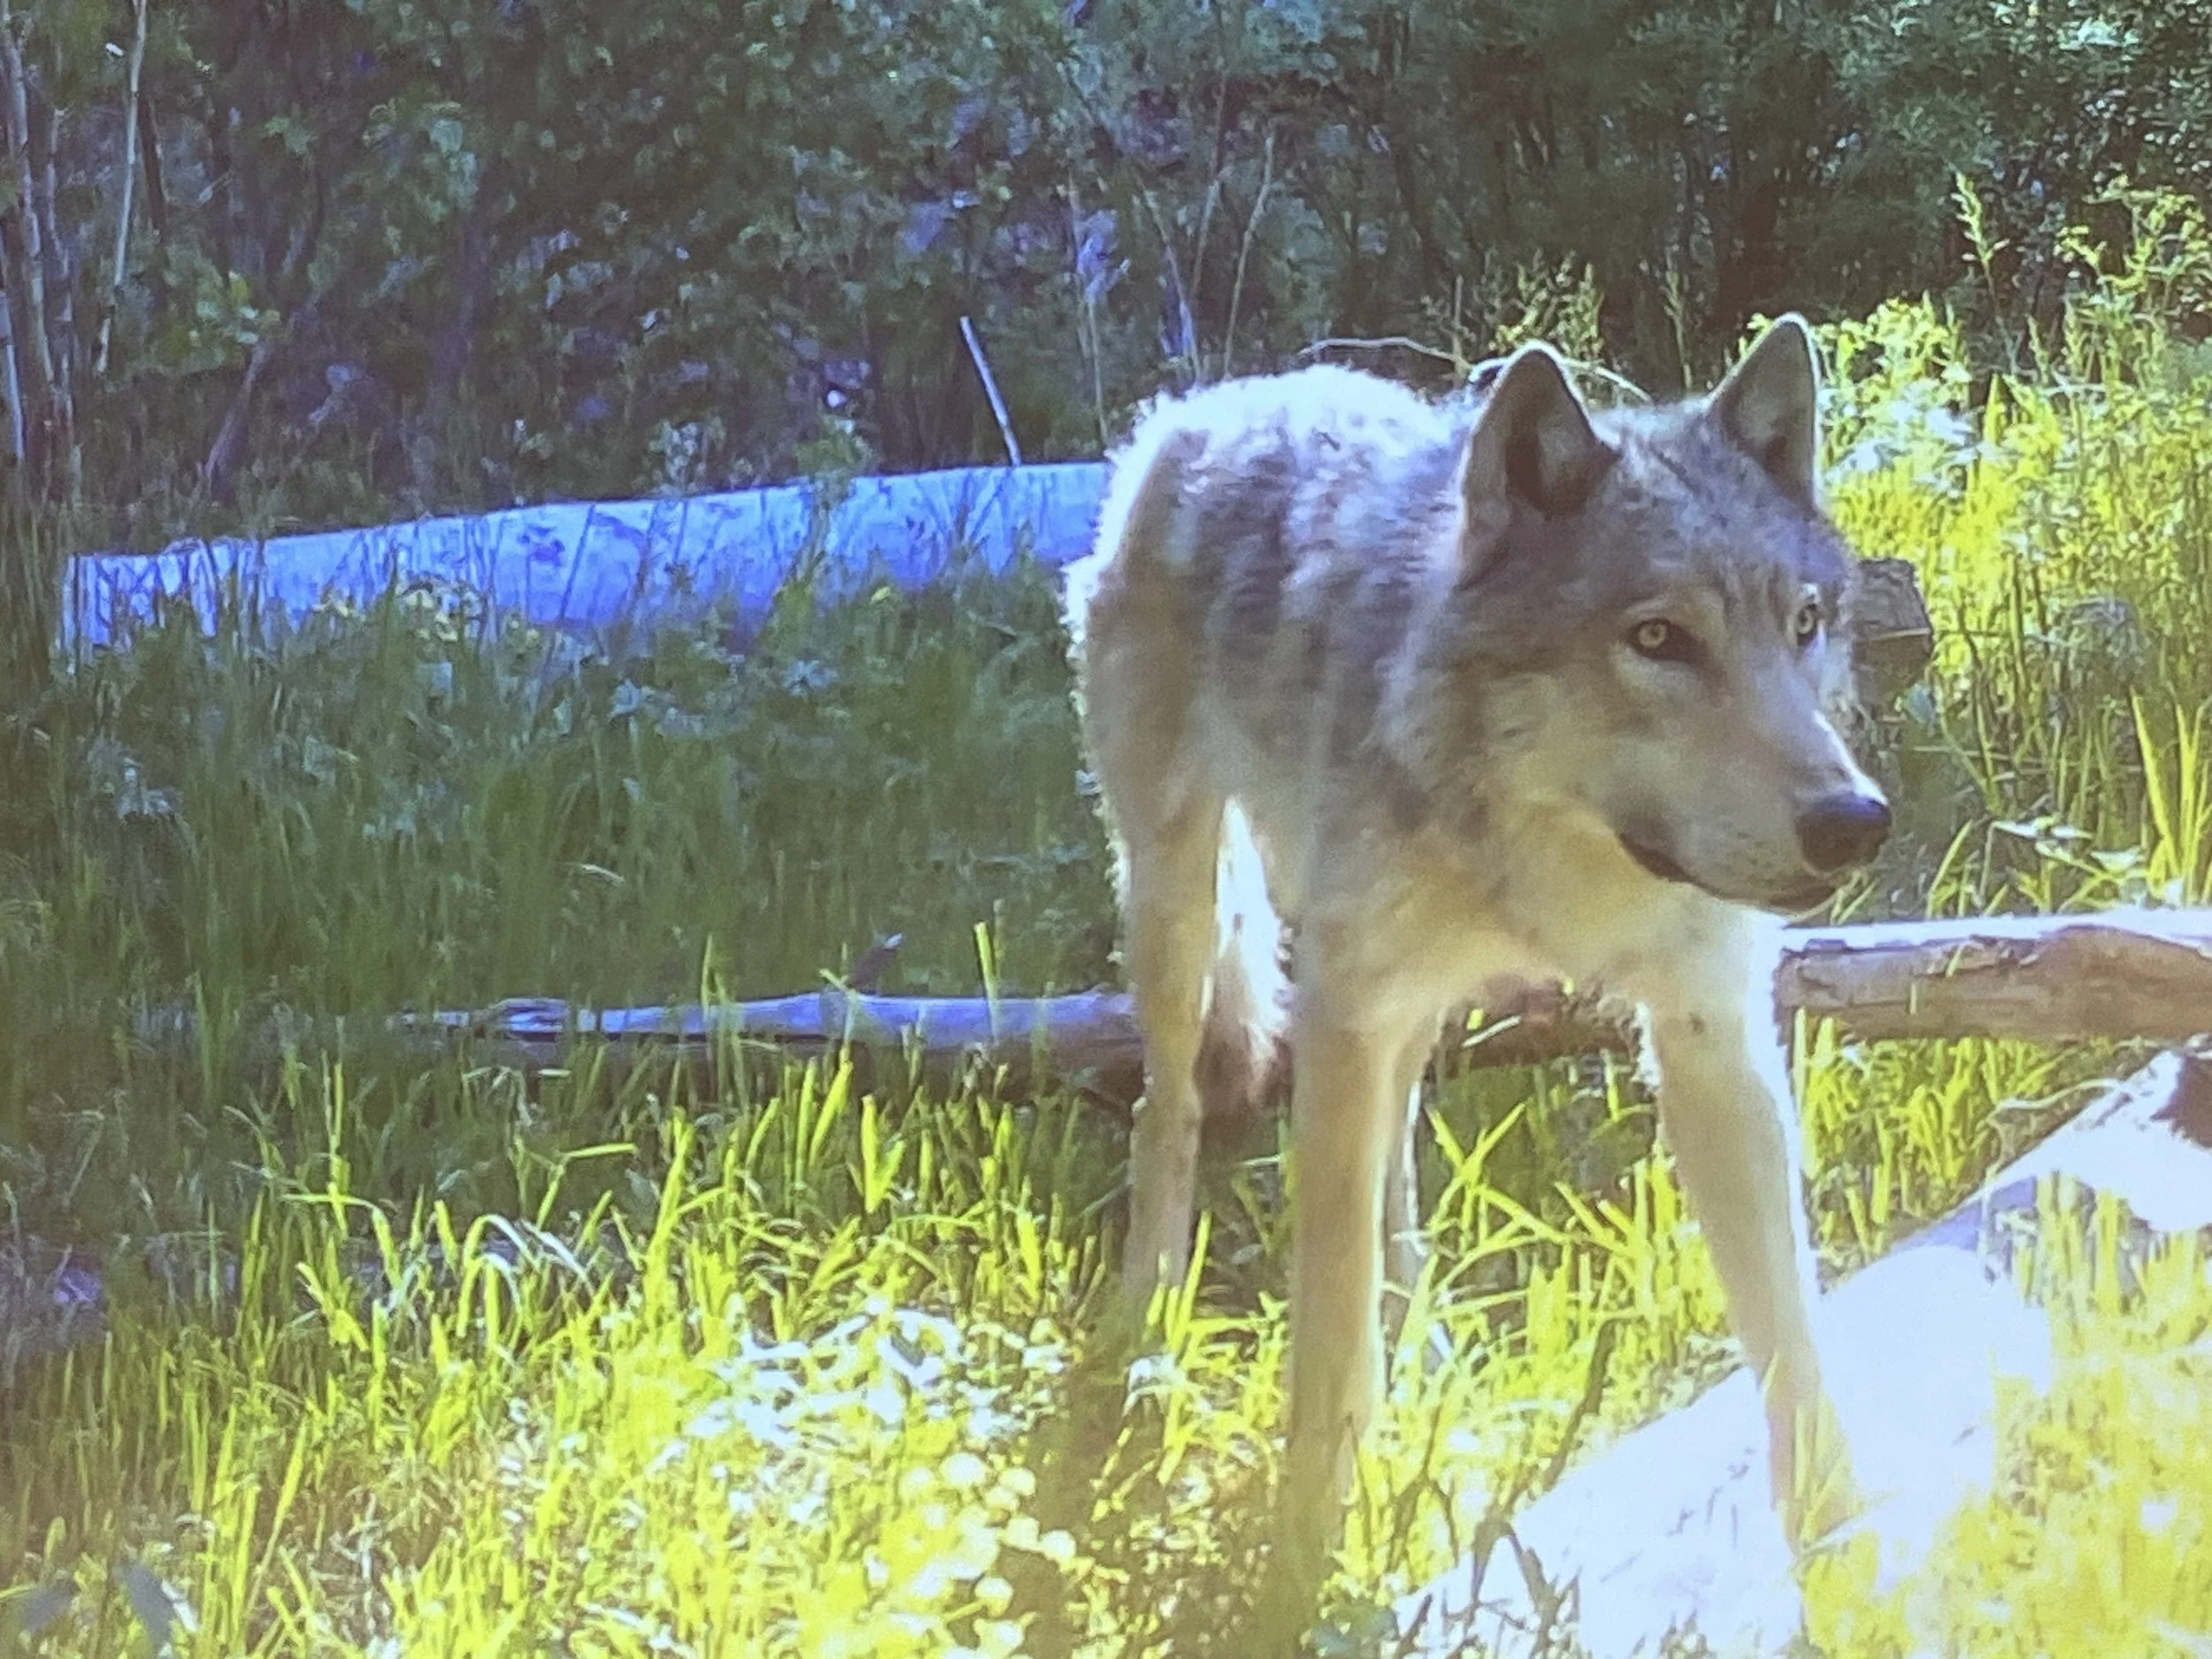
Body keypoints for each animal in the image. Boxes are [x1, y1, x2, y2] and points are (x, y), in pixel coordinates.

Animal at [1061, 316, 1889, 1644]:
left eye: (1803, 618)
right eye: (1658, 638)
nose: (1854, 822)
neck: (1549, 854)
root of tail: (1211, 402)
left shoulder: (1708, 1033)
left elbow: (1793, 1347)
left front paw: (1850, 1571)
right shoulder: (1347, 1014)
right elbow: (1325, 1358)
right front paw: (1300, 1572)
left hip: (1391, 1007)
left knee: (1394, 1148)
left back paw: (1425, 1334)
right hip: (1190, 918)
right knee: (1169, 1111)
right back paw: (1141, 1331)